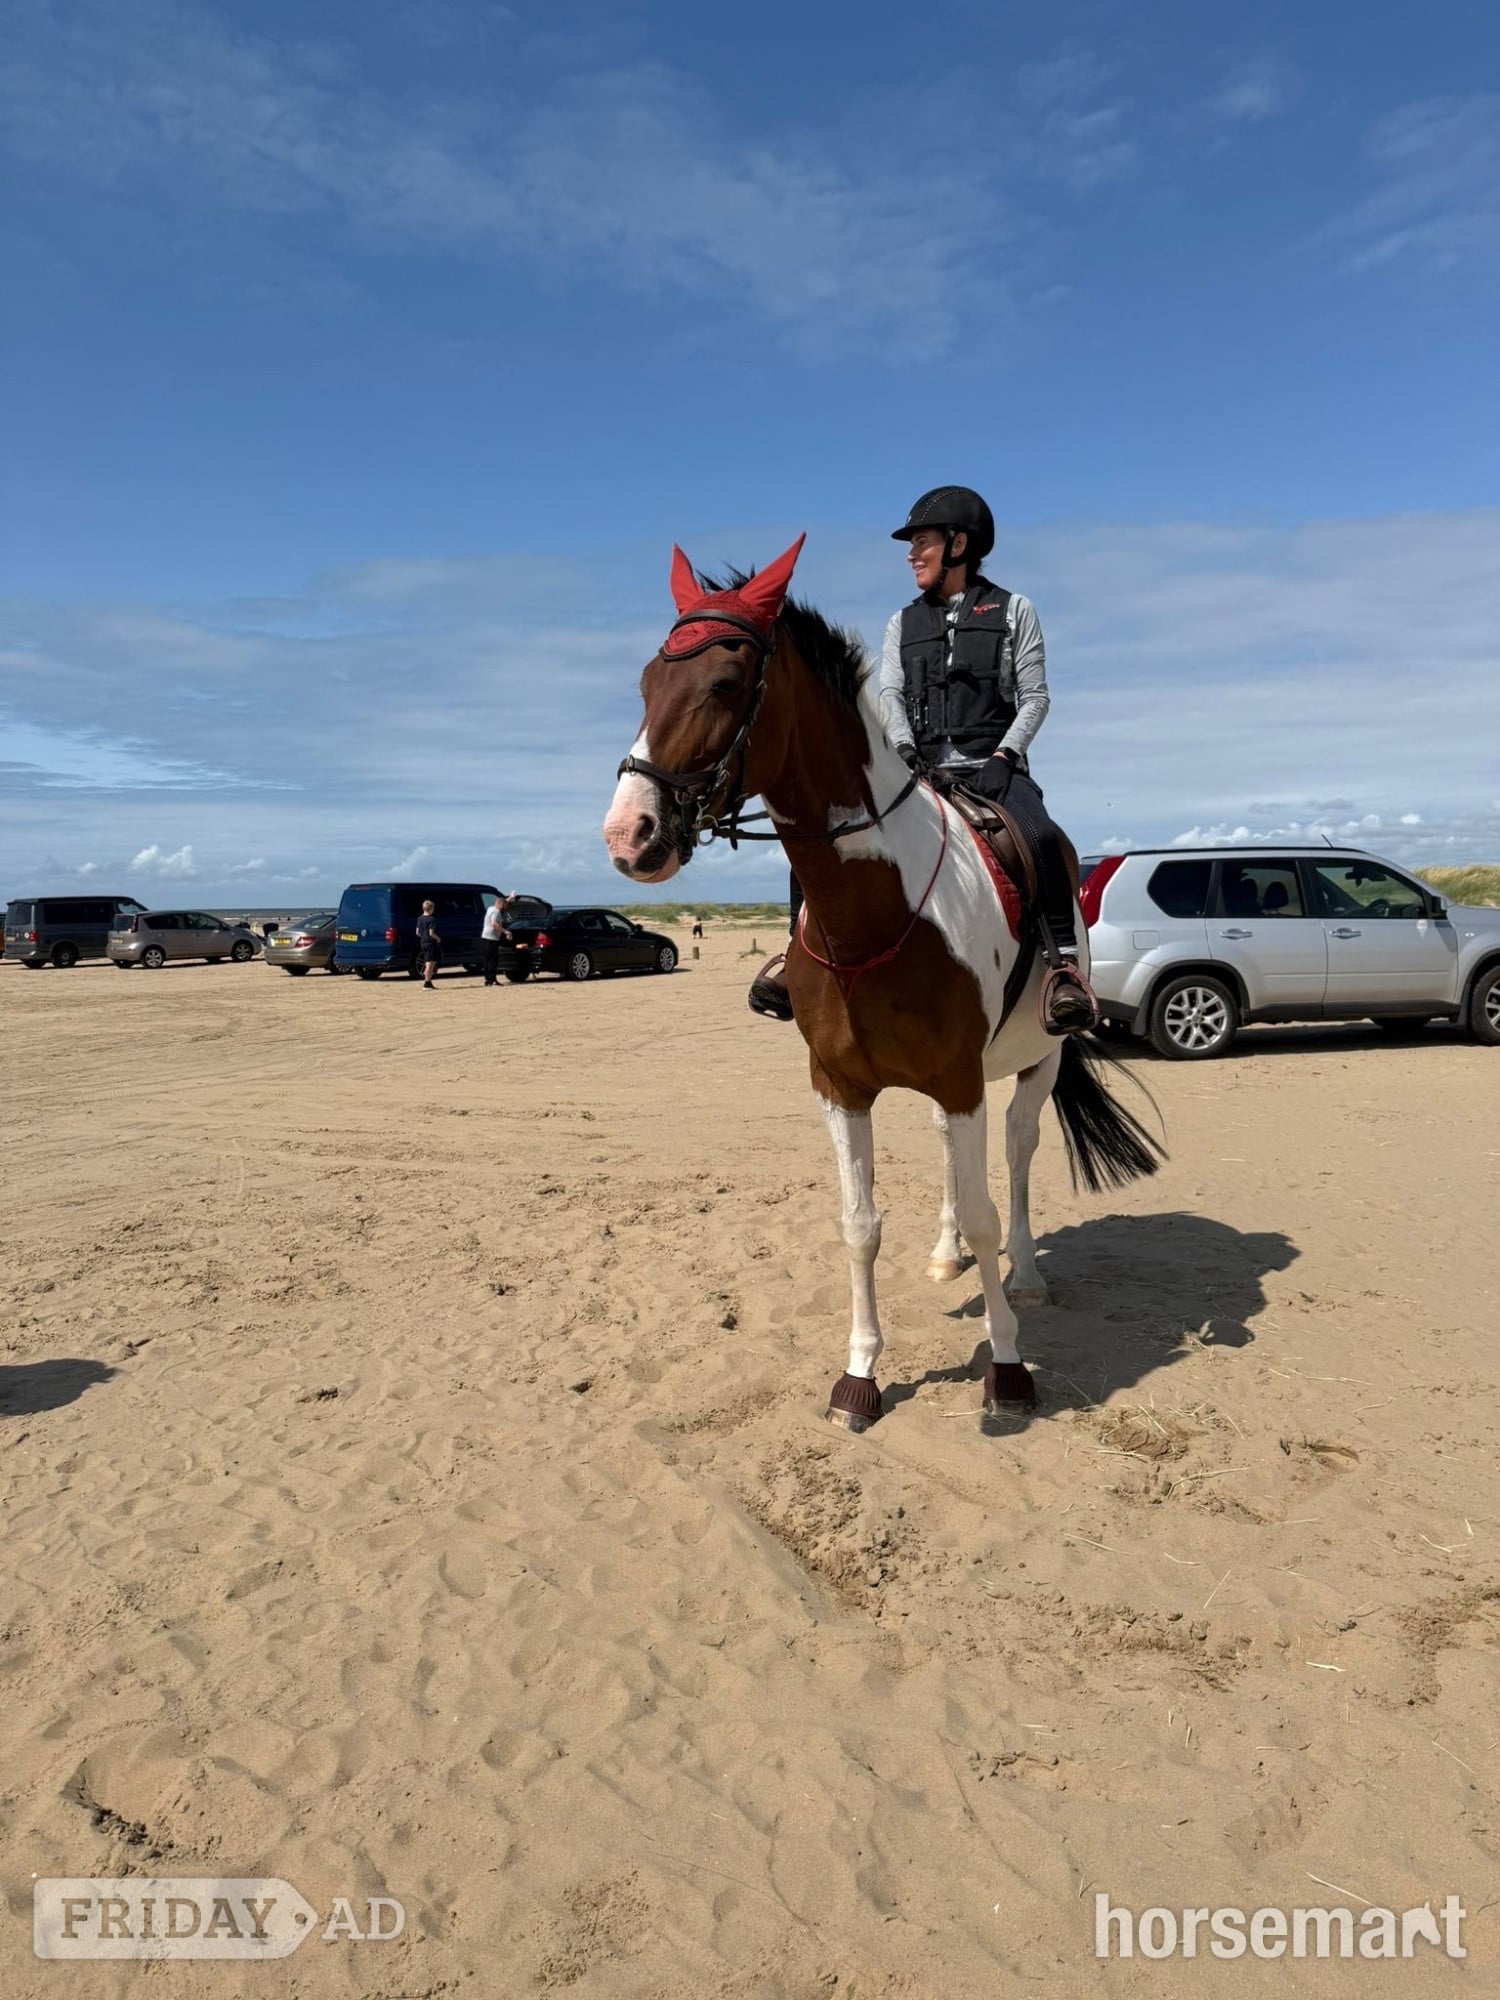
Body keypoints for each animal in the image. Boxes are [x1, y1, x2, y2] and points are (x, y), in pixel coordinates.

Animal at [603, 535, 1162, 1433]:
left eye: (723, 684)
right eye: (649, 682)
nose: (630, 835)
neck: (876, 910)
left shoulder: (963, 1080)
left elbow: (987, 1210)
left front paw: (1007, 1368)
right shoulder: (843, 1086)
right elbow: (859, 1225)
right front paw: (859, 1373)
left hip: (1033, 1065)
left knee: (1018, 1155)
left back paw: (1026, 1274)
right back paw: (943, 1255)